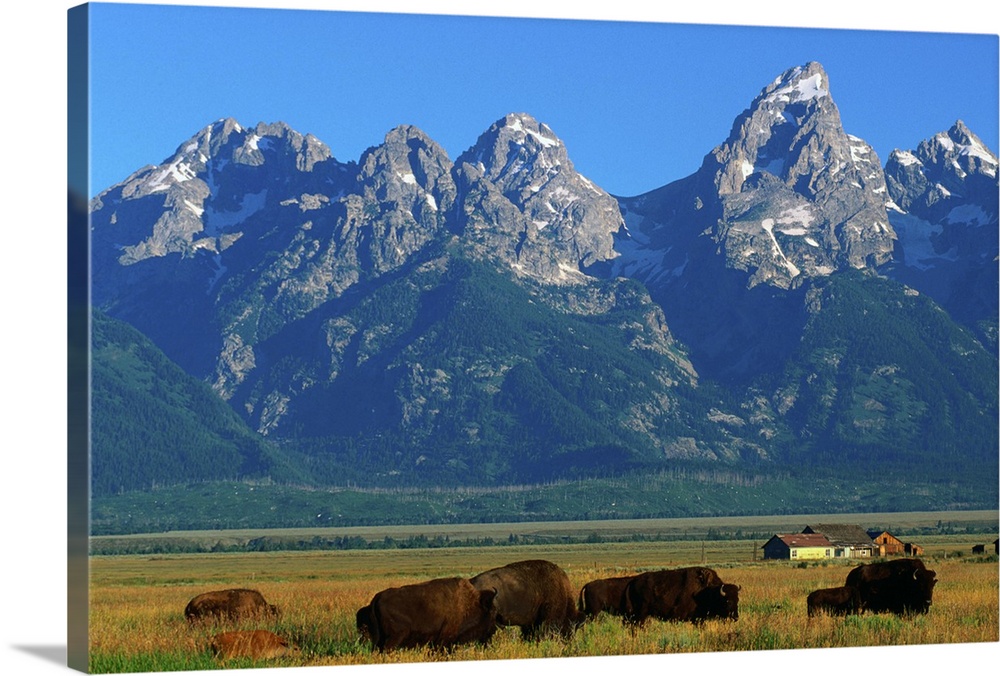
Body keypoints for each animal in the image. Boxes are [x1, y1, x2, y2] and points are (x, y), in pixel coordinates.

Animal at [362, 572, 498, 652]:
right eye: (492, 611)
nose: (493, 630)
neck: (470, 603)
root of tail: (378, 597)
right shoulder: (445, 640)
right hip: (396, 636)